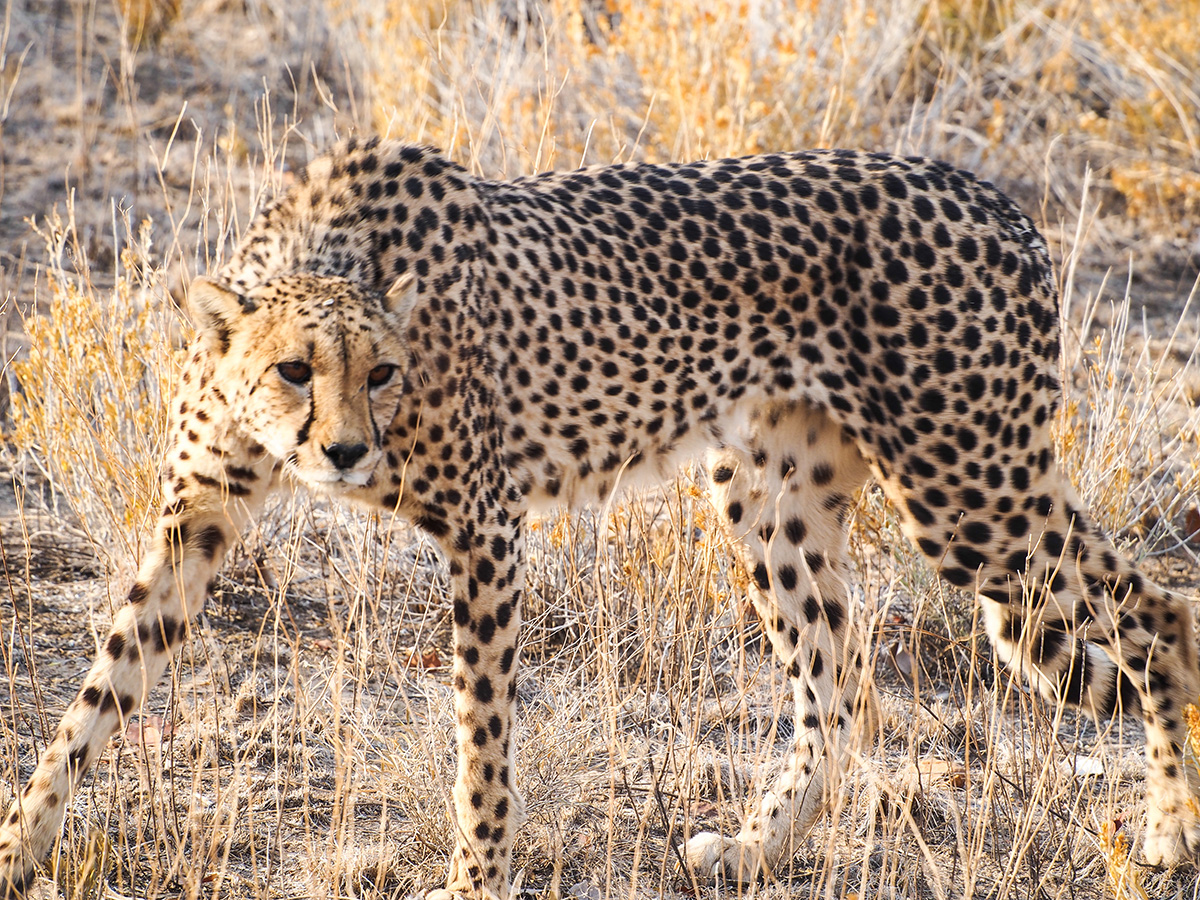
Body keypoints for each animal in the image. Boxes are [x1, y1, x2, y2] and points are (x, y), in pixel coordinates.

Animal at [1, 136, 1198, 898]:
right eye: (295, 369)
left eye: (382, 373)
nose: (343, 451)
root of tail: (993, 196)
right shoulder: (194, 523)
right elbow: (95, 695)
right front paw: (22, 844)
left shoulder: (483, 529)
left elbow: (482, 739)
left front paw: (475, 881)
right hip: (773, 489)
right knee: (841, 683)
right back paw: (753, 854)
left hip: (968, 487)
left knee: (1159, 614)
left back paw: (1169, 833)